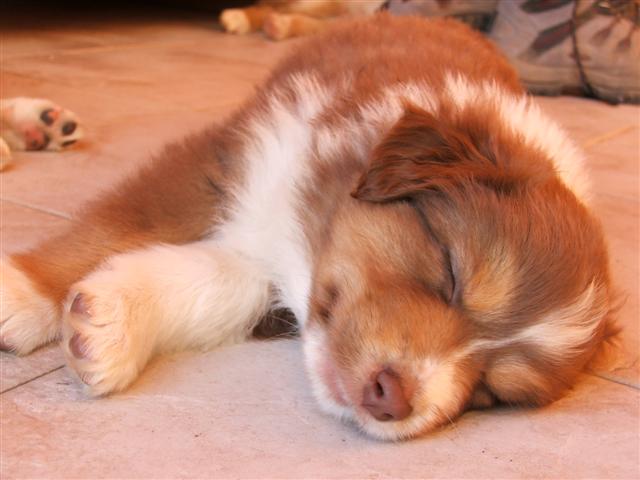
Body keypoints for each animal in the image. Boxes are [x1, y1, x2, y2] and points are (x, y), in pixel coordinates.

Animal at [0, 15, 617, 440]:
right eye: (450, 271)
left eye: (492, 391)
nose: (390, 397)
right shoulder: (229, 159)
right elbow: (118, 223)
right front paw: (23, 295)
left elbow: (219, 286)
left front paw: (108, 327)